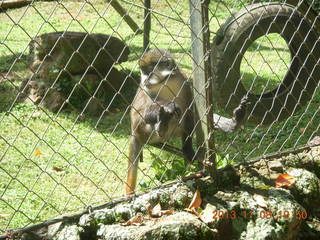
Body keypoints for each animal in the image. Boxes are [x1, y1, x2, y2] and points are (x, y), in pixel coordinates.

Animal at [125, 48, 250, 195]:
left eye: (148, 72)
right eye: (142, 72)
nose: (144, 80)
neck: (165, 82)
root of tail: (135, 135)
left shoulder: (184, 82)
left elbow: (190, 109)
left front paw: (188, 150)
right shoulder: (145, 90)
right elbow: (137, 113)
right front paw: (168, 106)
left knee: (190, 115)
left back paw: (233, 123)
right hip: (143, 132)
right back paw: (162, 124)